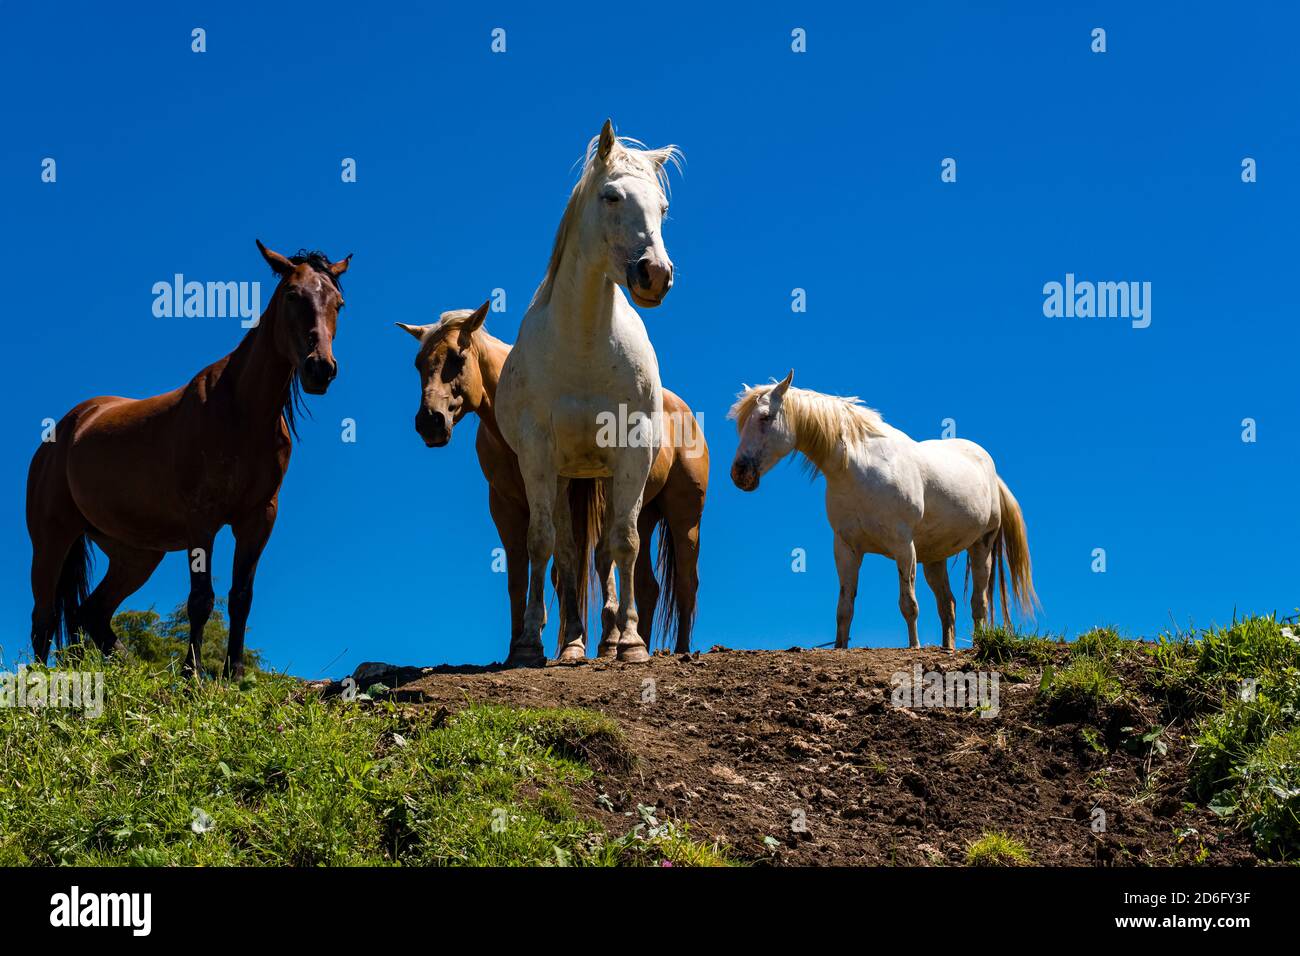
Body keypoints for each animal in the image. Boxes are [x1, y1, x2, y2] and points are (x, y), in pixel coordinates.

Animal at [25, 241, 350, 678]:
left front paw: (234, 674)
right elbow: (201, 599)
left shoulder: (258, 518)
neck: (242, 412)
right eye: (292, 295)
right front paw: (191, 674)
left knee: (90, 613)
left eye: (338, 303)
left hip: (136, 555)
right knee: (43, 618)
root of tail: (63, 430)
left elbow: (240, 596)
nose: (320, 369)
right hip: (51, 539)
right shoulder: (202, 520)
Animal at [395, 303, 707, 659]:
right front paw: (522, 645)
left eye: (457, 358)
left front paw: (590, 640)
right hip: (645, 513)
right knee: (647, 585)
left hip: (684, 516)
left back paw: (675, 648)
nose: (429, 422)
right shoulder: (506, 506)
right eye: (419, 364)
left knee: (686, 580)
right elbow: (522, 574)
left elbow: (582, 563)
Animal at [494, 120, 682, 667]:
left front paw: (632, 643)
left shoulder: (631, 451)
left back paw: (610, 637)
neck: (581, 343)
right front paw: (529, 644)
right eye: (611, 195)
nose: (655, 274)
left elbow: (626, 542)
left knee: (602, 555)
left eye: (662, 207)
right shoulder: (538, 454)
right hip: (564, 476)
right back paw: (575, 643)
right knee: (568, 553)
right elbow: (544, 544)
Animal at [728, 371, 1038, 650]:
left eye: (765, 417)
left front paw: (914, 646)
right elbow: (845, 607)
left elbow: (908, 603)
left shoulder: (903, 546)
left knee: (978, 602)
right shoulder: (846, 548)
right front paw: (840, 647)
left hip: (981, 546)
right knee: (947, 604)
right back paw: (947, 648)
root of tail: (990, 471)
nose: (739, 474)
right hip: (933, 557)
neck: (857, 469)